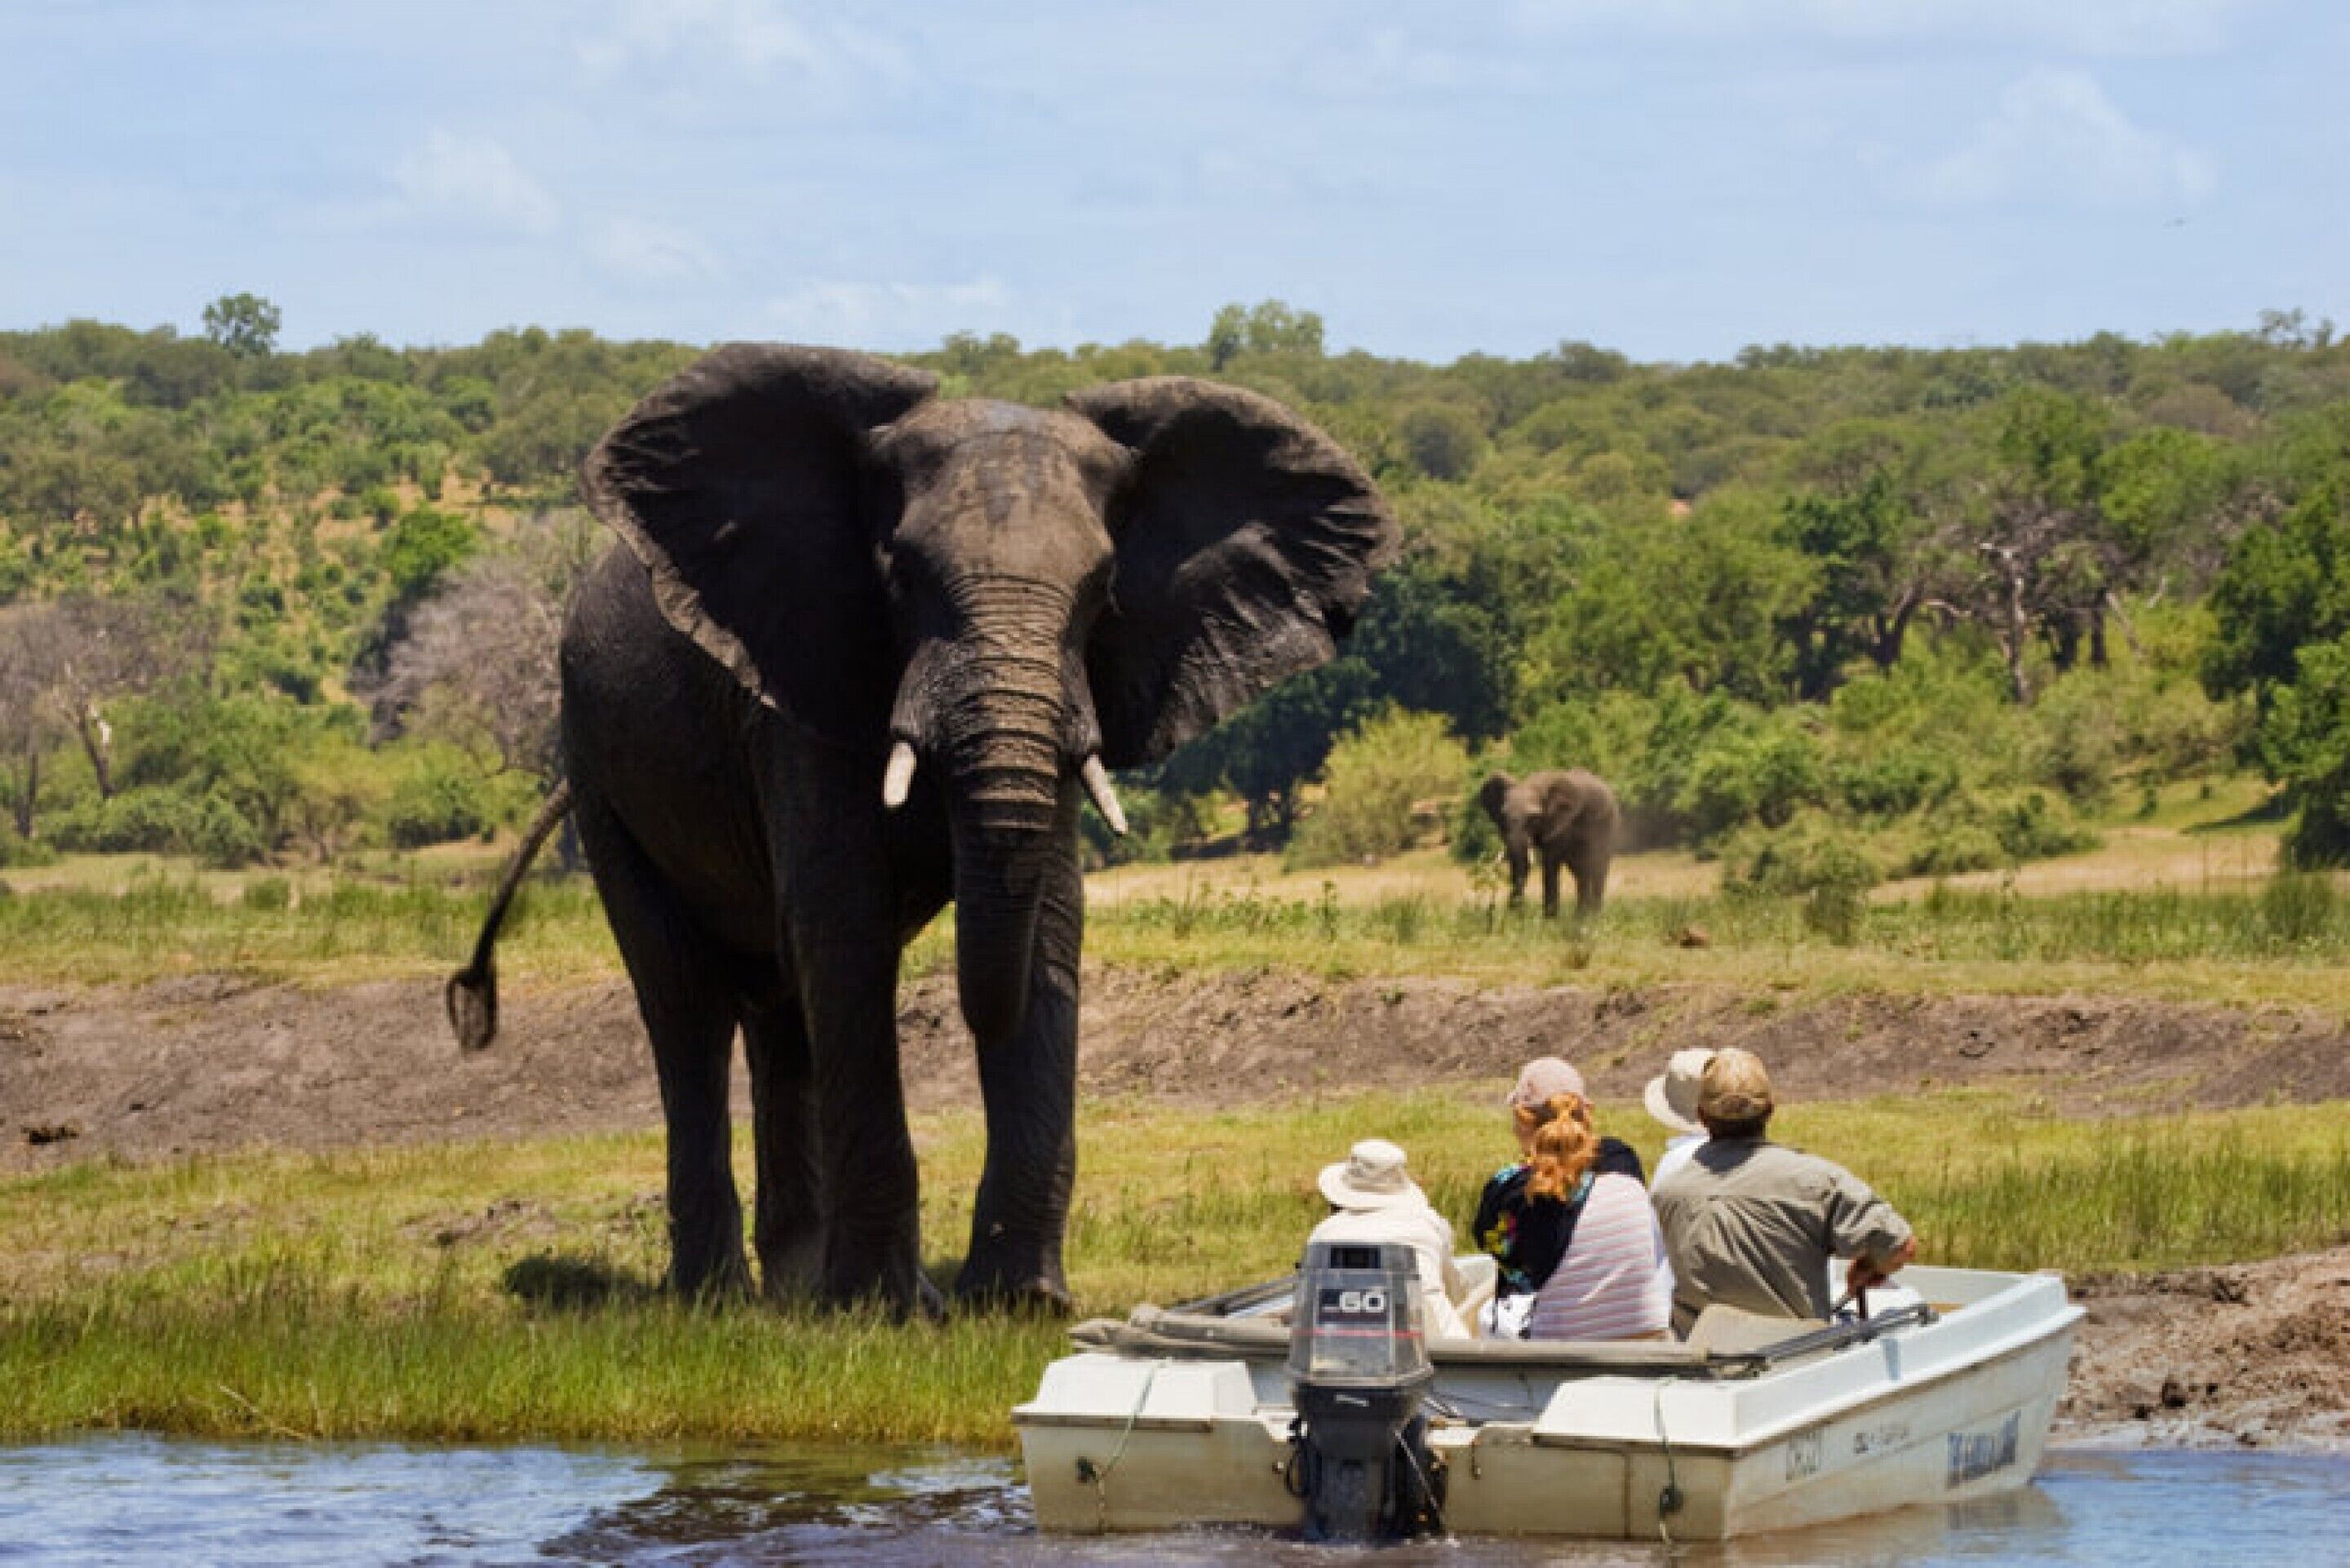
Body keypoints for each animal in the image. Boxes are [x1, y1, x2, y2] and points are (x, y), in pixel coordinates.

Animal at [446, 344, 1396, 1314]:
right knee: (688, 1007)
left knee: (782, 1009)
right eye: (900, 575)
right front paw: (890, 1311)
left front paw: (1018, 1305)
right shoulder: (801, 679)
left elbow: (1046, 923)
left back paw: (796, 1291)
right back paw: (721, 1300)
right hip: (599, 765)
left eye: (1102, 589)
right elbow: (846, 926)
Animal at [1477, 769, 1618, 917]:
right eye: (1504, 817)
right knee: (1581, 872)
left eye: (1533, 819)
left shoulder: (1560, 825)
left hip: (1608, 826)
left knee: (1596, 868)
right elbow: (1519, 865)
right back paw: (1580, 917)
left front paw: (1549, 920)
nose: (1491, 908)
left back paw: (1592, 917)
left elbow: (1550, 864)